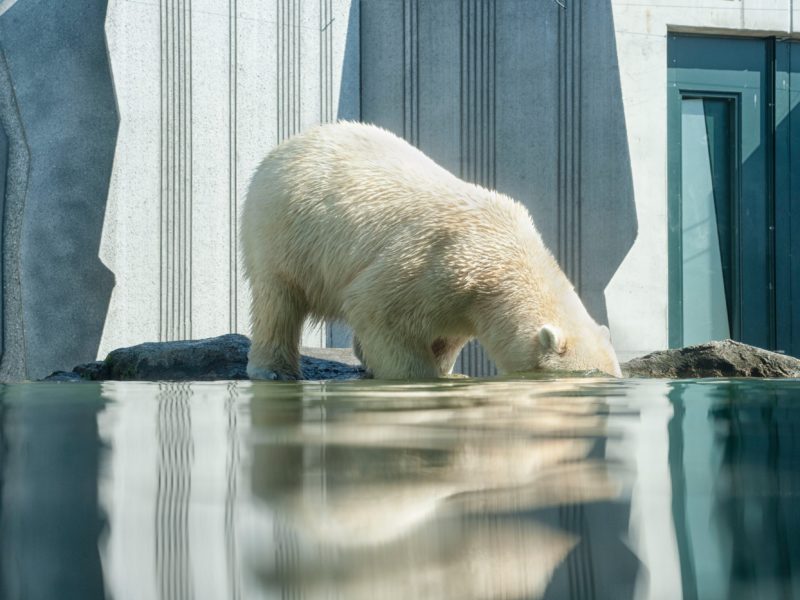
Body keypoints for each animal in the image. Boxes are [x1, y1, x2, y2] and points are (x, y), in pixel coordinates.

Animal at [241, 120, 620, 380]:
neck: (505, 259)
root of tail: (290, 143)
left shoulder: (464, 300)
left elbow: (446, 335)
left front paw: (449, 371)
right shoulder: (438, 262)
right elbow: (377, 309)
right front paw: (423, 377)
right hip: (285, 231)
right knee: (277, 299)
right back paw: (275, 369)